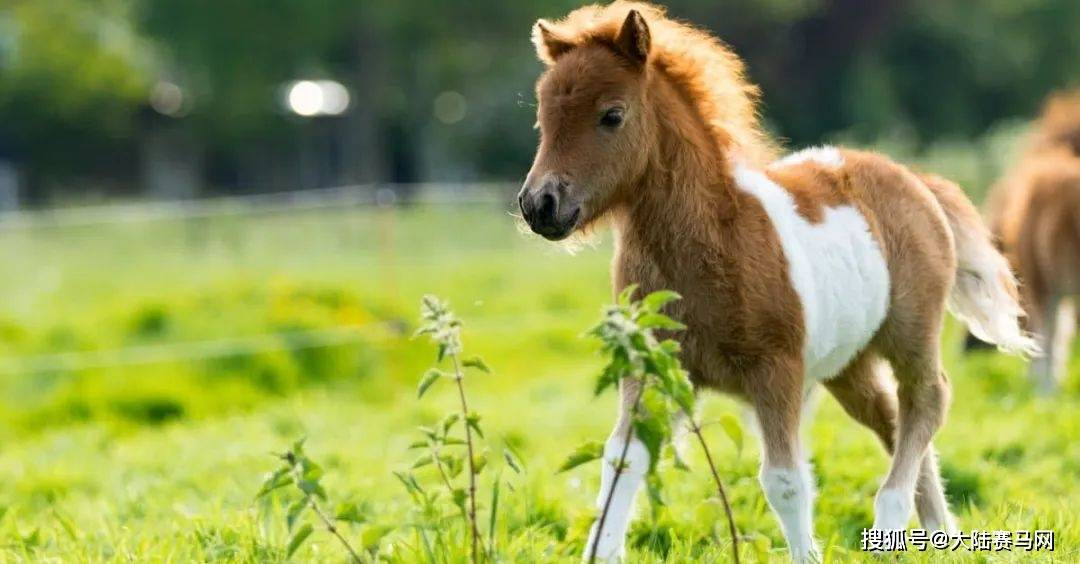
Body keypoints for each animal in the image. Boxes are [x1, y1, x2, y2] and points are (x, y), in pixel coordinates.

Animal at [516, 2, 1036, 557]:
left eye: (611, 115)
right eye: (543, 117)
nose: (540, 204)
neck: (712, 240)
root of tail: (915, 179)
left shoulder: (776, 371)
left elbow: (785, 481)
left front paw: (807, 555)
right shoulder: (655, 365)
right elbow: (624, 459)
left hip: (910, 332)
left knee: (927, 401)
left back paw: (893, 517)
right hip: (848, 365)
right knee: (892, 418)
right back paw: (940, 534)